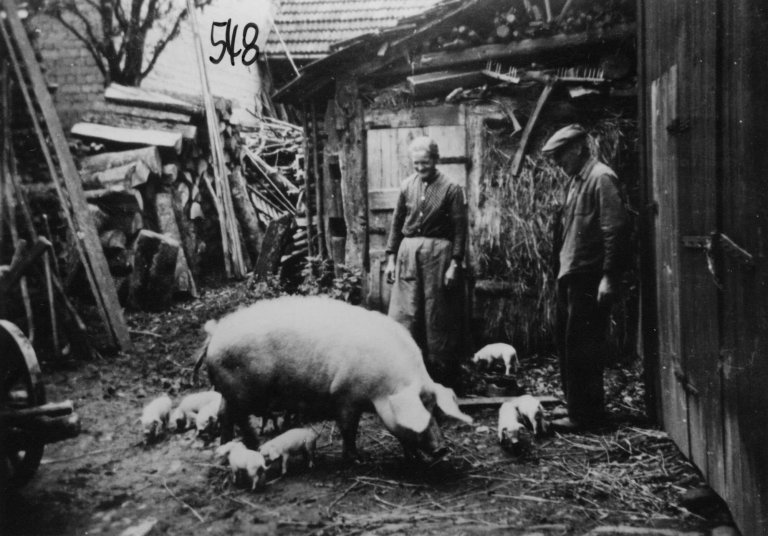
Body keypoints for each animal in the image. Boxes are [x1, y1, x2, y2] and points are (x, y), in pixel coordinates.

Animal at [194, 296, 473, 462]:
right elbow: (349, 429)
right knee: (237, 417)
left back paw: (231, 445)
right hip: (240, 390)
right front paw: (356, 459)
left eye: (434, 409)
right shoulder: (345, 395)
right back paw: (252, 446)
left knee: (226, 415)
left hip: (229, 392)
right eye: (421, 410)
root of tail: (216, 334)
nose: (442, 448)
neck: (384, 385)